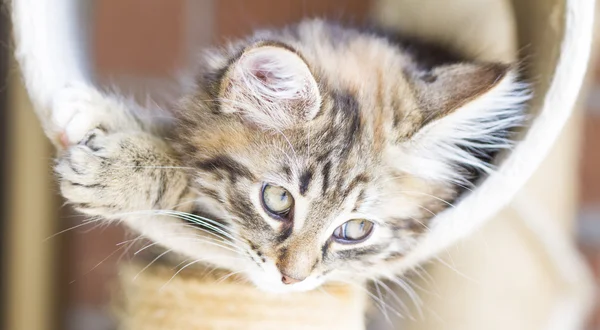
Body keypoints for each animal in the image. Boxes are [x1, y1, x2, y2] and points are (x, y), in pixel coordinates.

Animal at [55, 20, 524, 294]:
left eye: (355, 229)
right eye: (277, 200)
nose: (291, 280)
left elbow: (186, 169)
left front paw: (117, 172)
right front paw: (97, 111)